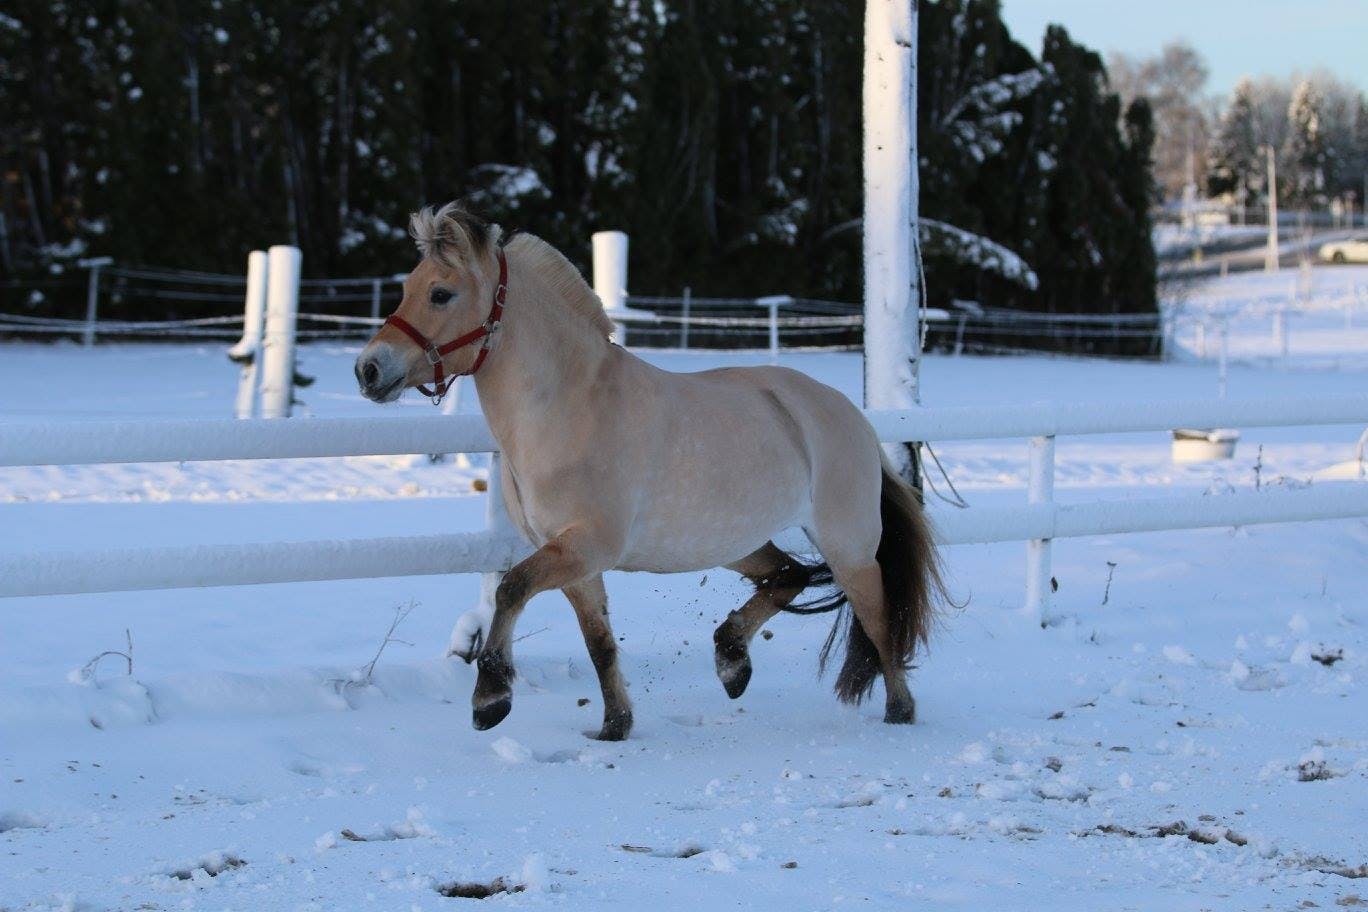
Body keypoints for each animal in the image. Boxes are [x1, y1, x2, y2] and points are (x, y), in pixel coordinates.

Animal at [358, 200, 946, 743]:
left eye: (441, 293)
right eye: (407, 287)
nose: (368, 369)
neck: (568, 407)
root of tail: (850, 417)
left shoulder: (586, 547)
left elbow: (510, 588)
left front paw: (491, 698)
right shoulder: (576, 562)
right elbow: (598, 644)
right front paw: (615, 726)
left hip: (847, 547)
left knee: (878, 621)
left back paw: (898, 713)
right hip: (735, 542)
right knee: (789, 575)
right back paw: (731, 662)